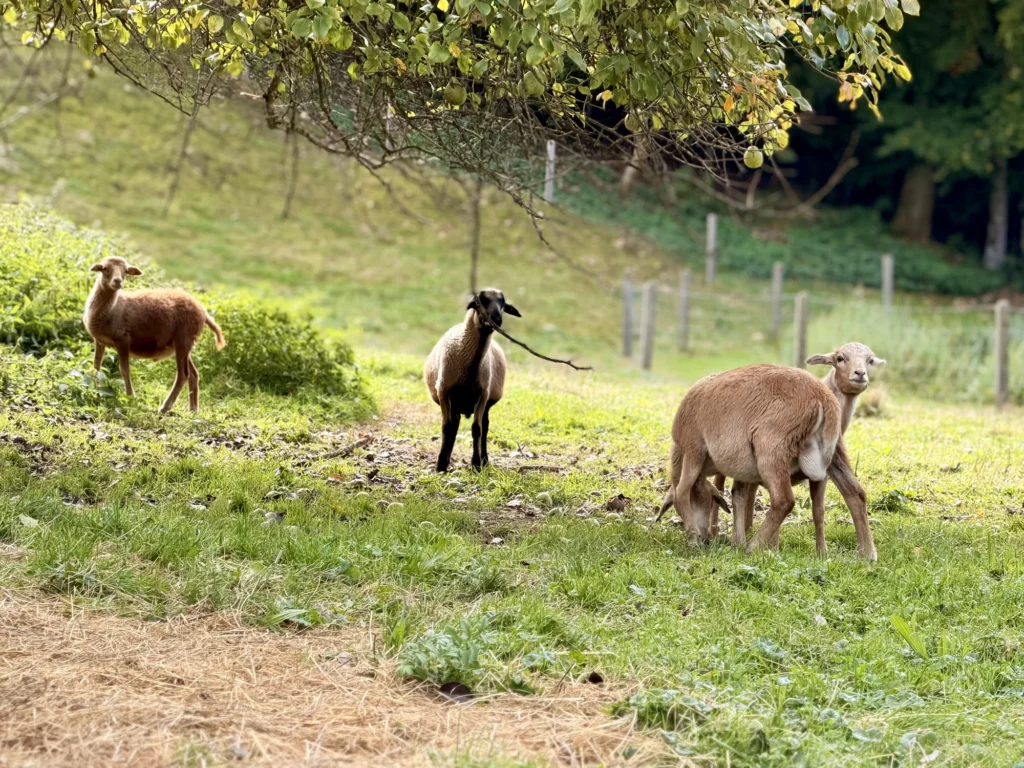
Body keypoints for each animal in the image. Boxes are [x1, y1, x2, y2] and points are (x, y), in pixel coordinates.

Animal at [83, 257, 225, 413]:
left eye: (125, 271)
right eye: (105, 268)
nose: (117, 281)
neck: (111, 309)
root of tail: (203, 311)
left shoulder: (123, 340)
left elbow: (124, 370)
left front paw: (130, 397)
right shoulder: (99, 340)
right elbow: (96, 365)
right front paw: (94, 388)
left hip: (183, 339)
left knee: (183, 375)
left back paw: (165, 407)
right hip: (185, 344)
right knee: (194, 374)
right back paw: (193, 409)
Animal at [424, 289, 519, 472]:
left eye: (503, 303)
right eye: (480, 301)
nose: (496, 319)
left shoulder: (483, 395)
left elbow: (477, 428)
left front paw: (476, 464)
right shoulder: (444, 391)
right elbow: (447, 427)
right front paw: (440, 465)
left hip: (485, 402)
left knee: (484, 426)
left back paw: (484, 459)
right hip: (454, 401)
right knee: (454, 425)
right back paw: (446, 459)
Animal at [655, 364, 877, 560]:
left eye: (710, 501)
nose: (704, 540)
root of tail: (823, 397)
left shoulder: (693, 449)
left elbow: (682, 491)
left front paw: (693, 539)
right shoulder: (742, 466)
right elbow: (738, 496)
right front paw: (736, 542)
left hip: (771, 447)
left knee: (784, 500)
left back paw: (753, 547)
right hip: (834, 451)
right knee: (855, 493)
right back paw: (867, 554)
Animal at [713, 343, 885, 555]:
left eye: (870, 360)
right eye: (840, 358)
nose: (860, 374)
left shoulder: (821, 473)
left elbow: (819, 510)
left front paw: (821, 551)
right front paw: (772, 546)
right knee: (721, 488)